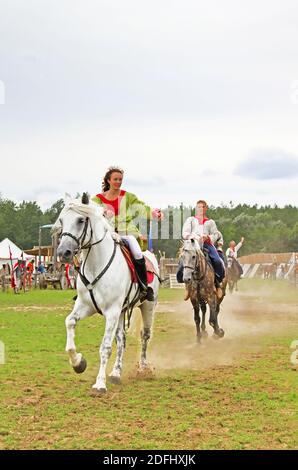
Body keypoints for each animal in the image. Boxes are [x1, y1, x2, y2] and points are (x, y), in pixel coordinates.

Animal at [54, 193, 159, 394]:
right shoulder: (85, 307)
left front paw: (100, 383)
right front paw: (78, 363)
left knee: (145, 335)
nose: (63, 252)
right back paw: (116, 373)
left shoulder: (111, 311)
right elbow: (69, 323)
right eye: (62, 220)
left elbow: (105, 347)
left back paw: (143, 368)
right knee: (122, 339)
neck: (96, 264)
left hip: (147, 306)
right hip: (122, 312)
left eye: (80, 220)